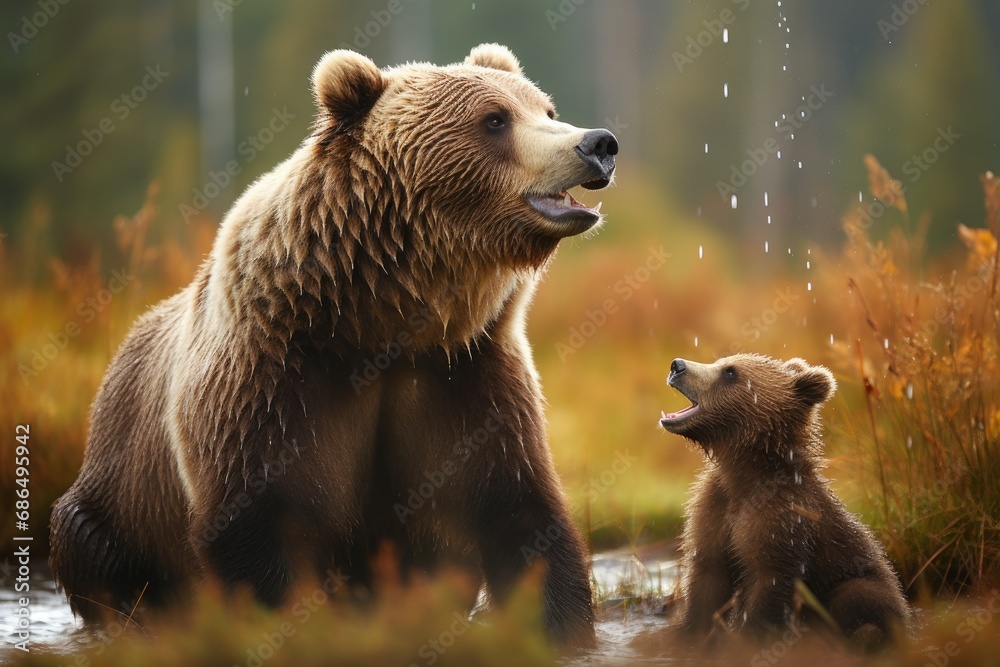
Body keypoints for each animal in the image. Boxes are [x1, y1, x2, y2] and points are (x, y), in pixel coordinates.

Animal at [48, 44, 618, 646]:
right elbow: (260, 521)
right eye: (495, 119)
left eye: (547, 109)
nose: (598, 144)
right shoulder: (272, 372)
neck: (381, 321)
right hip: (115, 500)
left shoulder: (466, 370)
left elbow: (517, 507)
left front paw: (563, 629)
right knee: (90, 547)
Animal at [658, 354, 909, 650]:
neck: (744, 475)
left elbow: (768, 586)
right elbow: (706, 579)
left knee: (857, 596)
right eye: (721, 362)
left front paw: (744, 641)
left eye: (730, 372)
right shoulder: (714, 508)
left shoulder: (783, 520)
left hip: (865, 581)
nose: (677, 365)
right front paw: (689, 637)